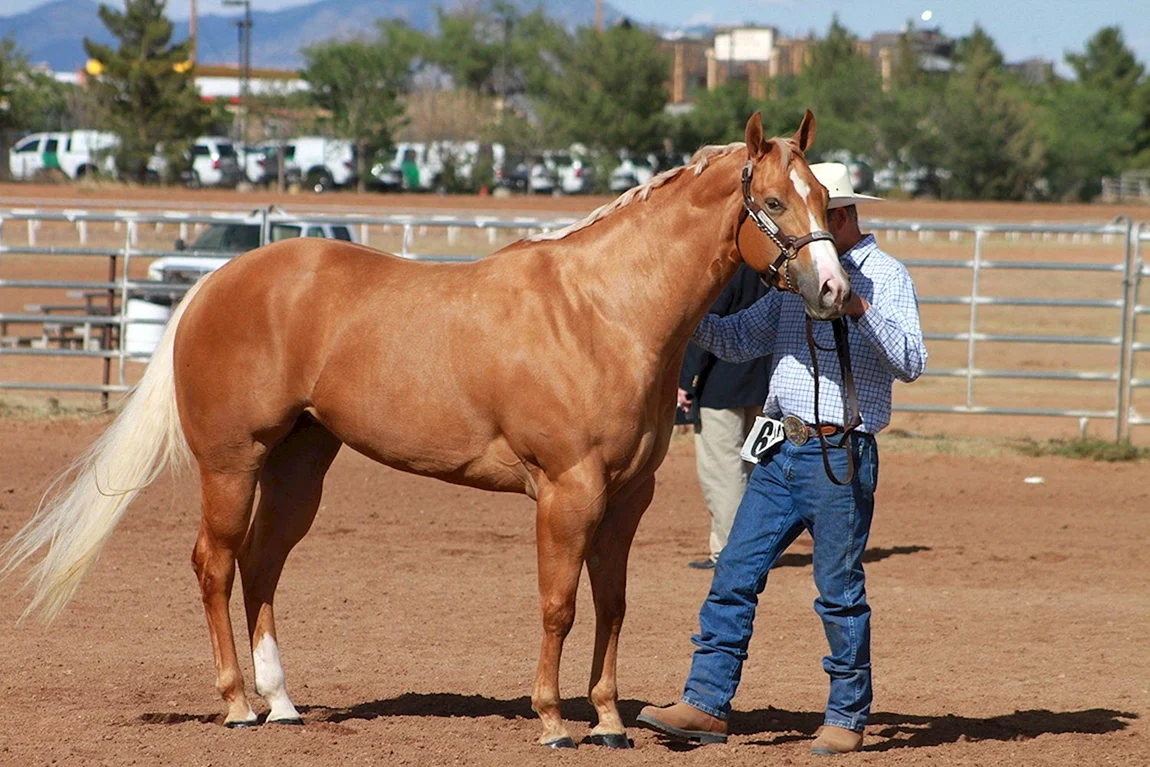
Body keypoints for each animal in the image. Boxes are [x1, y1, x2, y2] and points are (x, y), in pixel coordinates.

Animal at [1, 111, 849, 749]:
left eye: (823, 195)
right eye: (776, 203)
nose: (836, 291)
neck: (602, 310)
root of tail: (216, 282)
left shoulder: (625, 498)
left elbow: (612, 605)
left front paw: (609, 720)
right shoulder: (567, 491)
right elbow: (560, 604)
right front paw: (552, 721)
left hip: (299, 463)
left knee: (261, 565)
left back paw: (282, 703)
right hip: (231, 462)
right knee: (214, 563)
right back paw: (238, 704)